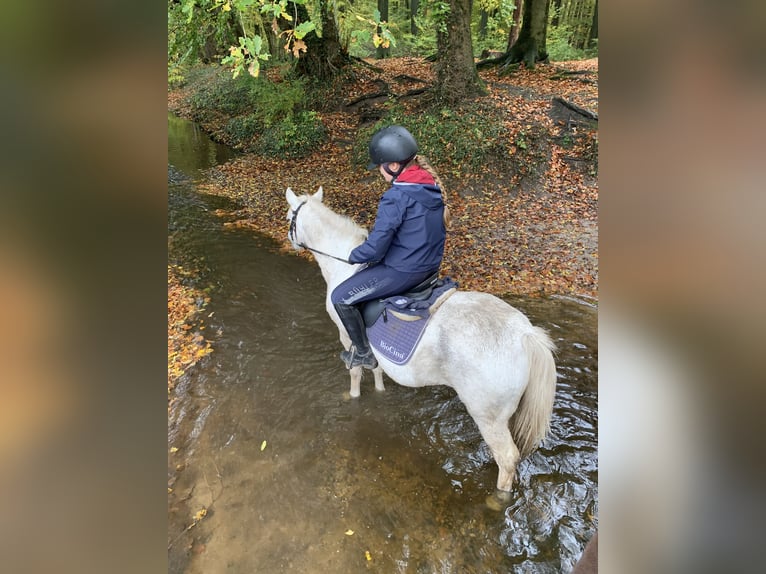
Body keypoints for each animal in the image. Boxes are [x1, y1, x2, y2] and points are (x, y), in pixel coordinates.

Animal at [286, 188, 560, 504]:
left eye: (289, 216)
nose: (289, 239)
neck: (345, 267)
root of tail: (525, 334)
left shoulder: (347, 335)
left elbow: (355, 371)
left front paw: (352, 397)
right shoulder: (372, 347)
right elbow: (375, 368)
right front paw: (378, 390)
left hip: (487, 416)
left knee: (507, 458)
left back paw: (497, 500)